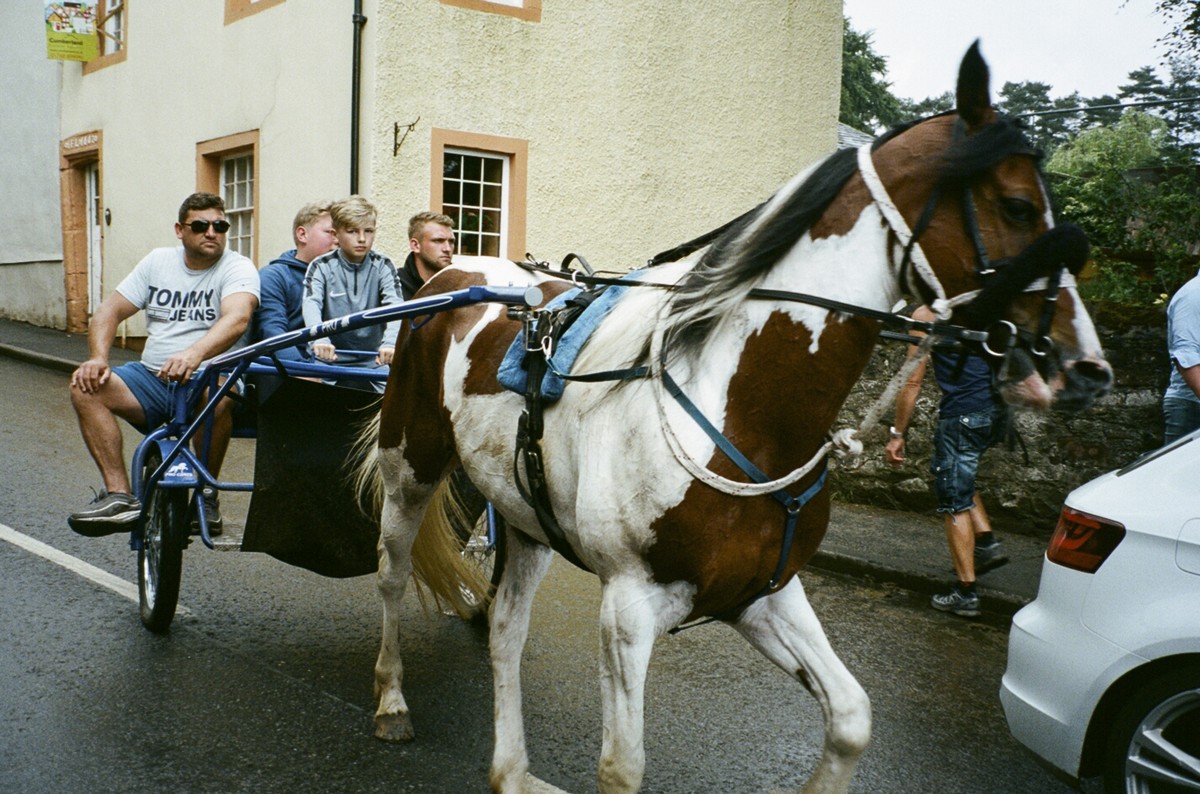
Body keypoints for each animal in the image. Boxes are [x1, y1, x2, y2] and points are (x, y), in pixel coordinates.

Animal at [355, 43, 1113, 794]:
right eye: (1018, 205)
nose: (1087, 368)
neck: (741, 407)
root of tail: (453, 275)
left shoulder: (762, 593)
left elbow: (850, 718)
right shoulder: (628, 606)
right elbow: (622, 766)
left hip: (523, 516)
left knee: (506, 628)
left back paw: (512, 770)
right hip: (410, 466)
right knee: (390, 572)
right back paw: (390, 699)